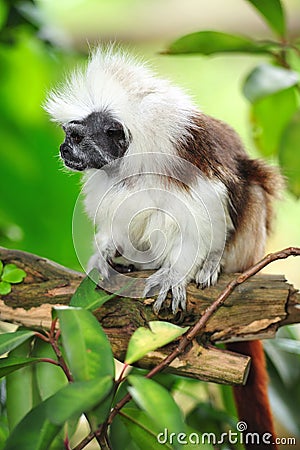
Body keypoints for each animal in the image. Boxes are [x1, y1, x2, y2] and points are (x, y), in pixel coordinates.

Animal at [45, 46, 284, 450]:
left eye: (76, 138)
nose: (63, 150)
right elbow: (117, 215)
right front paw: (104, 255)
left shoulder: (187, 164)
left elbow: (206, 206)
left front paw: (177, 273)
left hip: (248, 242)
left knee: (244, 193)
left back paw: (211, 265)